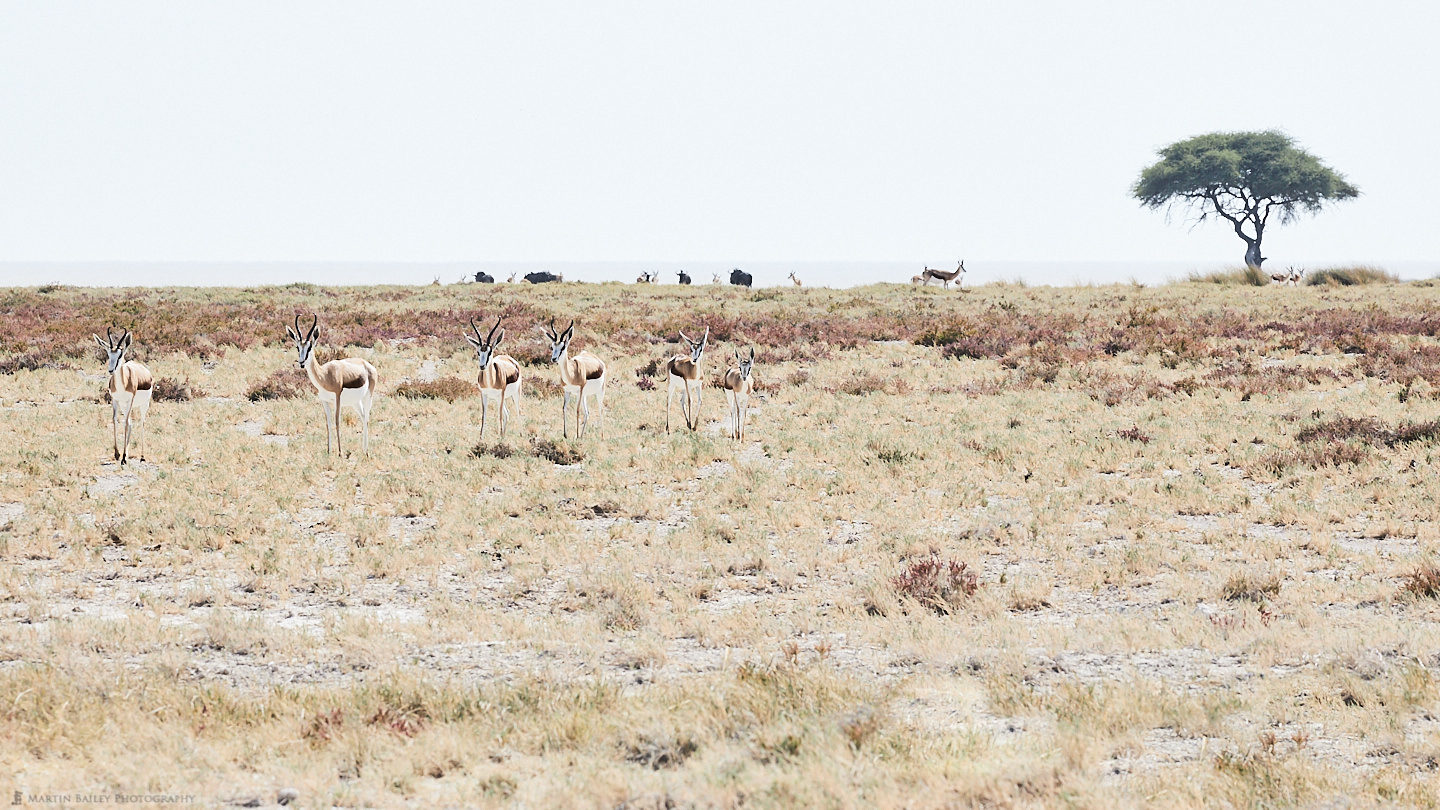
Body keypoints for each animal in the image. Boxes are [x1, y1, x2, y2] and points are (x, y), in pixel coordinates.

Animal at [93, 325, 151, 464]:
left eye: (120, 355)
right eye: (108, 354)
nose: (110, 370)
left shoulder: (130, 400)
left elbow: (124, 423)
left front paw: (123, 457)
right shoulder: (115, 400)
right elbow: (115, 420)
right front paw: (118, 454)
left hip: (143, 404)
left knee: (142, 423)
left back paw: (142, 456)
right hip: (124, 406)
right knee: (130, 423)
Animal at [283, 314, 377, 455]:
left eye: (310, 347)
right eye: (297, 347)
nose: (301, 363)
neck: (325, 375)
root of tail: (366, 364)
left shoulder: (337, 398)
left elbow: (337, 421)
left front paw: (340, 452)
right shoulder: (324, 400)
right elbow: (328, 424)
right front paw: (328, 451)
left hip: (368, 396)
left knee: (367, 418)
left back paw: (366, 452)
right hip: (355, 402)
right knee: (363, 416)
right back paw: (363, 450)